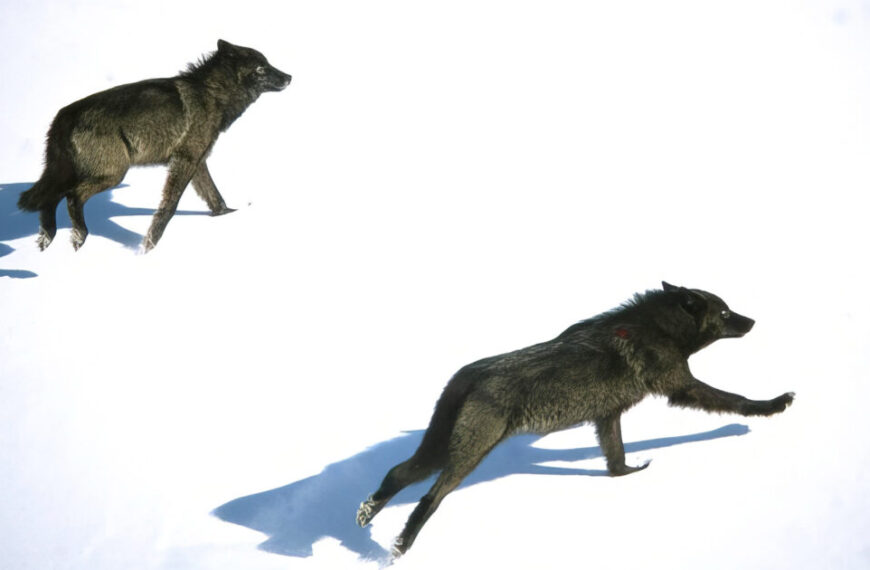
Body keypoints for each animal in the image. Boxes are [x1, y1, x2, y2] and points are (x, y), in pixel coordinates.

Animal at [17, 40, 291, 252]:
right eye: (261, 68)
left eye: (268, 63)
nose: (289, 77)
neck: (213, 94)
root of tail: (63, 115)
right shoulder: (185, 160)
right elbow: (170, 206)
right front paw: (148, 245)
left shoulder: (198, 161)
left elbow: (215, 197)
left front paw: (226, 216)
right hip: (112, 174)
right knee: (71, 197)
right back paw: (79, 238)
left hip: (74, 173)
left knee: (48, 200)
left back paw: (46, 242)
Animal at [356, 282, 794, 557]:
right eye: (725, 311)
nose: (752, 321)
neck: (658, 328)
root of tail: (470, 374)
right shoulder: (682, 387)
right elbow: (735, 399)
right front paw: (771, 406)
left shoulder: (608, 416)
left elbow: (616, 458)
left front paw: (626, 475)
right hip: (467, 454)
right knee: (430, 497)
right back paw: (400, 547)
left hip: (439, 448)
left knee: (397, 473)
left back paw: (366, 514)